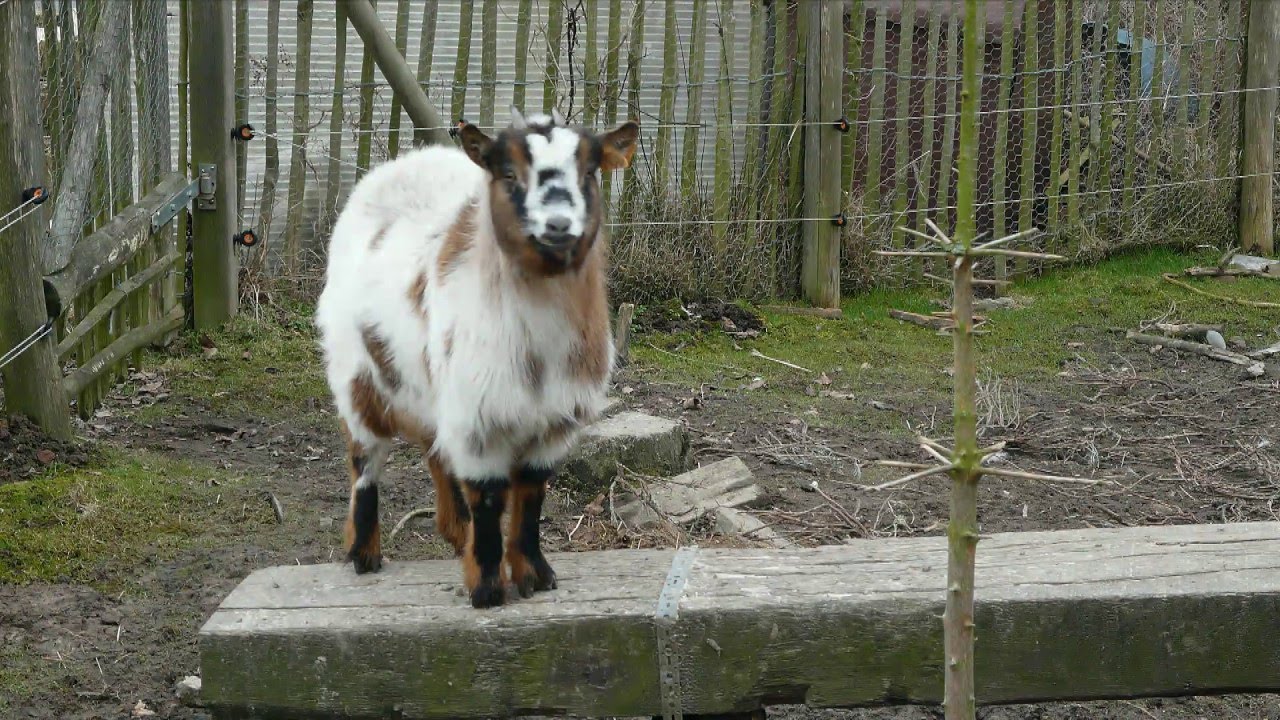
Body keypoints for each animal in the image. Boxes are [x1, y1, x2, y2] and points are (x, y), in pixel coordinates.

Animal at [317, 107, 637, 604]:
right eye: (508, 172)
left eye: (589, 172)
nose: (558, 225)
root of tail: (403, 162)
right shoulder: (478, 418)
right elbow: (488, 498)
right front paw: (487, 588)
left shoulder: (550, 422)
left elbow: (530, 497)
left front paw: (535, 576)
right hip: (356, 376)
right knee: (365, 460)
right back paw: (364, 553)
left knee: (435, 453)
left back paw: (454, 532)